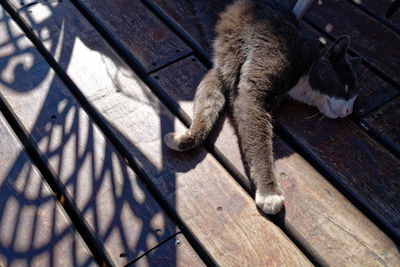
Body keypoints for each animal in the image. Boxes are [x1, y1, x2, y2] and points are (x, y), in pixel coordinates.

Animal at [164, 0, 360, 215]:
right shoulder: (252, 94)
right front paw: (269, 193)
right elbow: (259, 143)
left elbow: (207, 107)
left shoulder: (221, 72)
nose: (349, 110)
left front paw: (184, 138)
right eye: (347, 87)